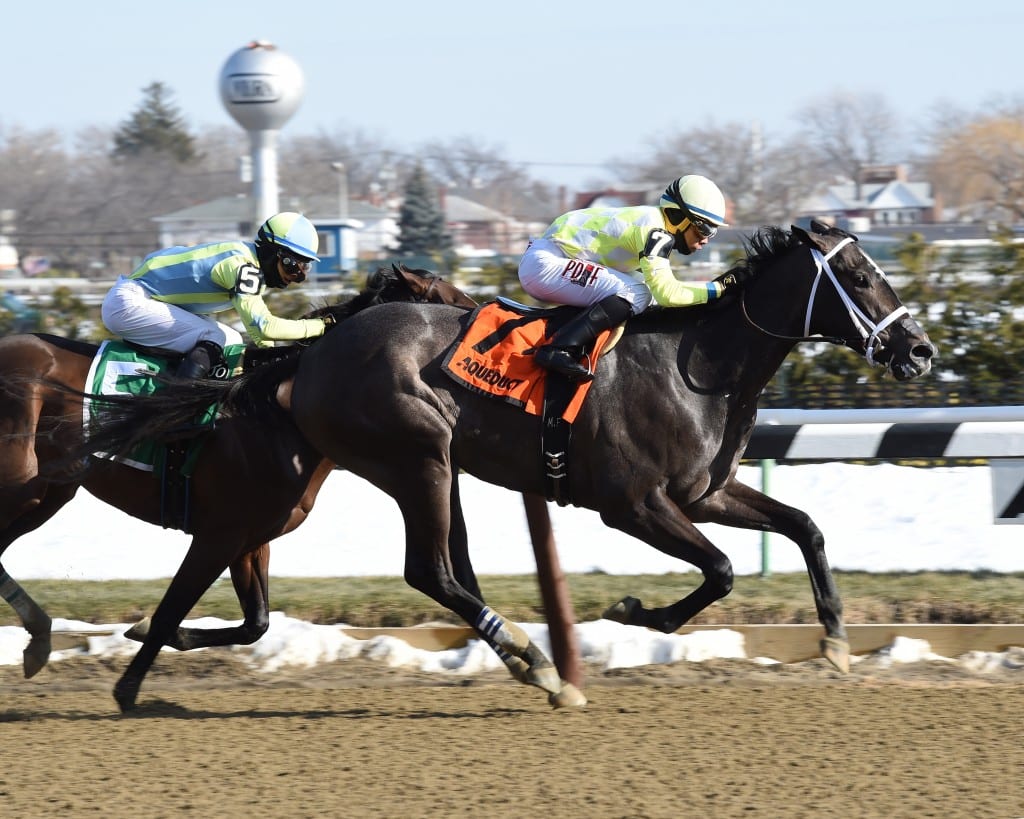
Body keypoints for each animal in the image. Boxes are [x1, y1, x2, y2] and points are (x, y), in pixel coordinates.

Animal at [0, 262, 475, 679]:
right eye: (450, 302)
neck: (274, 409)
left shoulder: (249, 538)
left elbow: (256, 624)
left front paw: (153, 632)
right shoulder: (221, 532)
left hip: (48, 493)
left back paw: (39, 639)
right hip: (22, 486)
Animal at [64, 219, 933, 708]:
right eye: (859, 275)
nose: (920, 351)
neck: (698, 363)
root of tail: (314, 354)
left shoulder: (704, 492)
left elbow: (805, 526)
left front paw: (836, 643)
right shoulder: (635, 503)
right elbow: (719, 570)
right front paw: (634, 613)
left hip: (440, 467)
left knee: (451, 571)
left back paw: (529, 660)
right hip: (418, 453)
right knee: (429, 569)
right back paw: (537, 663)